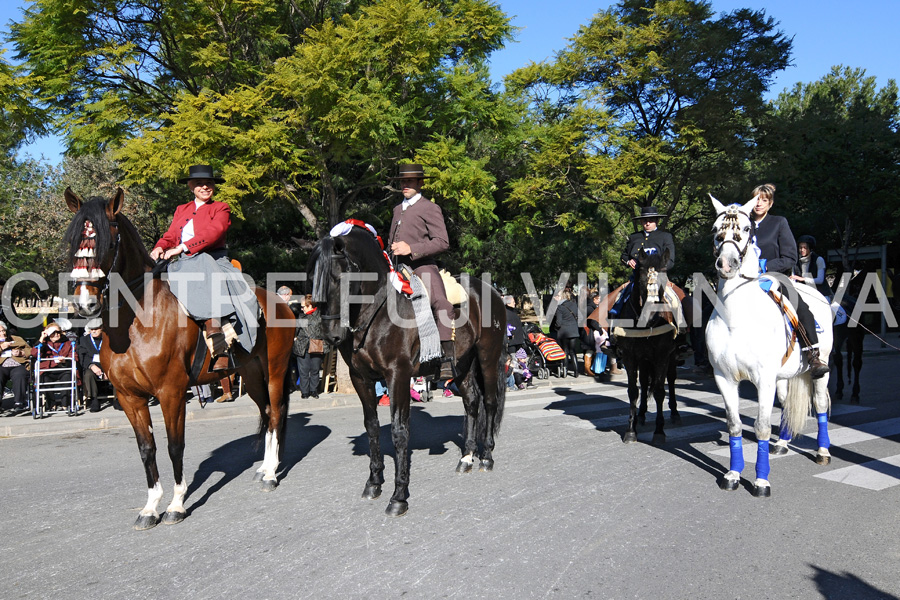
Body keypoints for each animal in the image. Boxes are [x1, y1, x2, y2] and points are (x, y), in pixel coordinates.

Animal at [64, 188, 296, 528]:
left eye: (109, 242)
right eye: (73, 241)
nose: (84, 303)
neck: (137, 322)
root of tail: (280, 302)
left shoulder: (171, 392)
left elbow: (175, 446)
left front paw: (176, 504)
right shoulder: (130, 397)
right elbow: (146, 448)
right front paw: (150, 507)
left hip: (276, 371)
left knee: (277, 413)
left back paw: (271, 474)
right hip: (251, 375)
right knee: (266, 413)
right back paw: (265, 467)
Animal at [310, 220, 506, 516]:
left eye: (339, 277)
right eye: (313, 278)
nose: (330, 335)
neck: (377, 312)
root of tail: (491, 290)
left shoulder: (397, 376)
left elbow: (399, 431)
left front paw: (399, 495)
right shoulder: (361, 378)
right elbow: (372, 427)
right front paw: (374, 483)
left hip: (487, 358)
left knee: (491, 402)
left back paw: (486, 456)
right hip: (462, 365)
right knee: (472, 402)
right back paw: (467, 457)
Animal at [616, 250, 680, 446]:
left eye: (664, 281)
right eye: (642, 281)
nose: (651, 316)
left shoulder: (662, 355)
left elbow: (660, 391)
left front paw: (659, 431)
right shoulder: (629, 356)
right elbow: (633, 391)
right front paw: (631, 430)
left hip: (671, 356)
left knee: (671, 380)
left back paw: (675, 413)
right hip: (644, 359)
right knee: (644, 383)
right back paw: (642, 414)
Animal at [708, 196, 832, 496]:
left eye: (745, 229)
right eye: (715, 229)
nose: (726, 264)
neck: (736, 318)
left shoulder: (763, 379)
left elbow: (762, 426)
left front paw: (761, 481)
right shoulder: (724, 378)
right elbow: (735, 426)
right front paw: (732, 475)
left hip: (821, 368)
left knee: (821, 404)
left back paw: (822, 452)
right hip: (784, 377)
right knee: (787, 404)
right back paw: (783, 443)